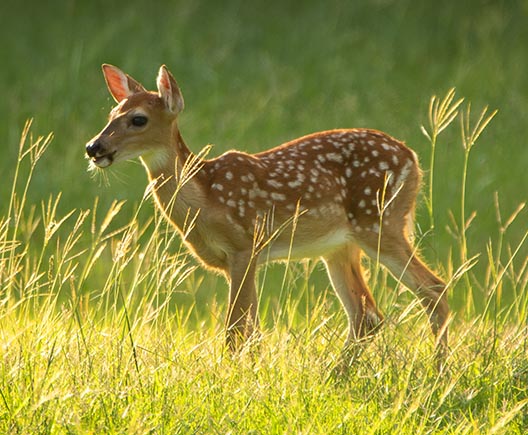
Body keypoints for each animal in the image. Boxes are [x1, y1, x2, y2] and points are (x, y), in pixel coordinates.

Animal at [86, 64, 450, 364]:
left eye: (138, 119)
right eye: (111, 113)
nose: (94, 147)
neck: (206, 196)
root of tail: (412, 158)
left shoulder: (245, 246)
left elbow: (236, 331)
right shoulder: (237, 260)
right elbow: (252, 331)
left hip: (379, 222)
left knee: (434, 288)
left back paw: (439, 371)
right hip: (340, 247)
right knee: (367, 315)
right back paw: (336, 375)